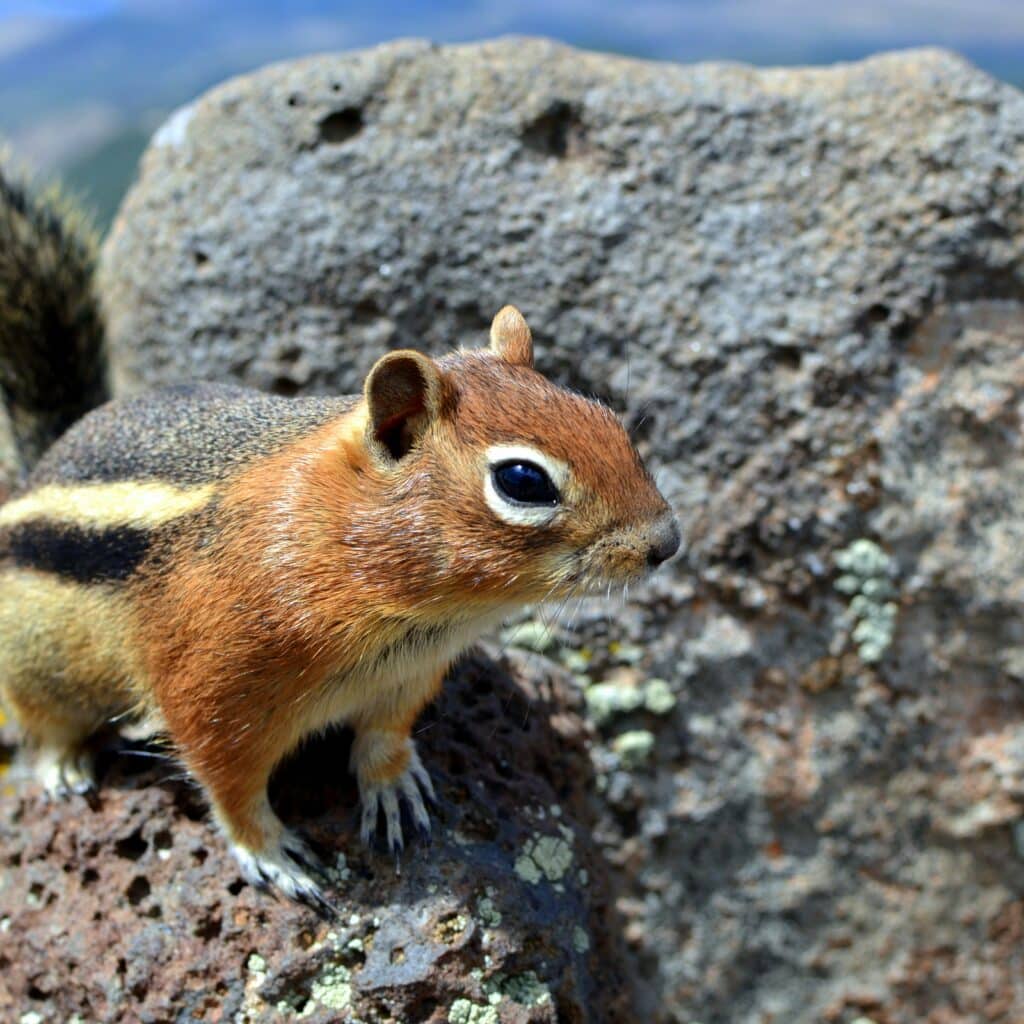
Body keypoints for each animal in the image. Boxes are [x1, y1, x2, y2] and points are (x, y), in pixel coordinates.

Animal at [0, 169, 680, 911]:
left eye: (608, 418)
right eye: (524, 480)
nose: (667, 542)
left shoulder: (409, 675)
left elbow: (385, 736)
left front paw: (394, 784)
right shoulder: (209, 693)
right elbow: (228, 787)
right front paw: (270, 853)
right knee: (39, 721)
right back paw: (63, 767)